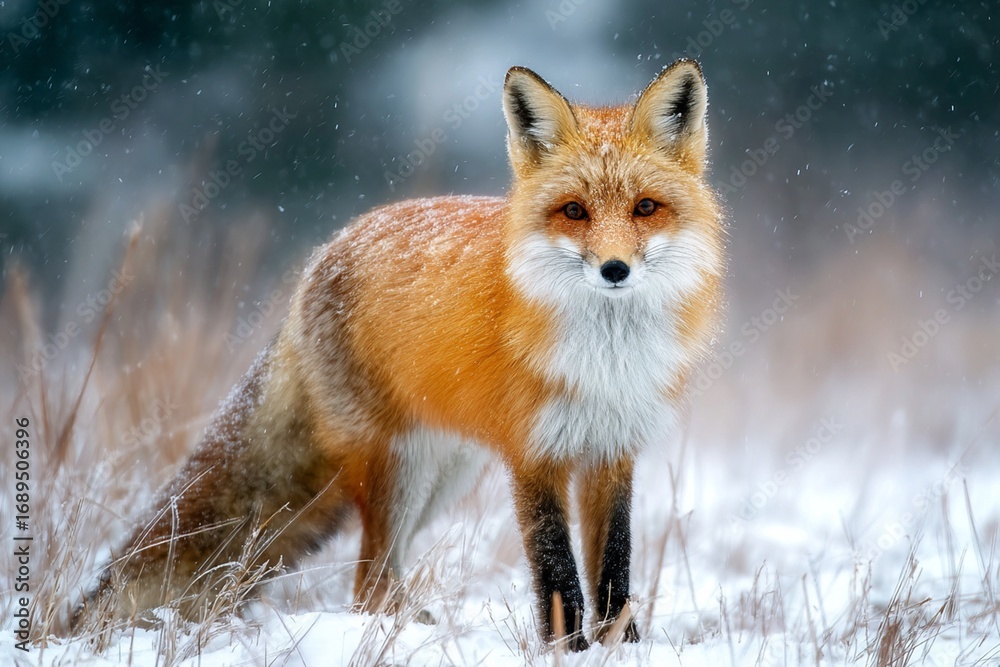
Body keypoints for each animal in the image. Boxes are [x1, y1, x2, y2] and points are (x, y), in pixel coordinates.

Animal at [76, 60, 723, 651]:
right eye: (574, 211)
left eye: (645, 208)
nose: (615, 269)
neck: (605, 359)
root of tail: (324, 252)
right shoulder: (533, 455)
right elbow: (557, 572)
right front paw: (568, 651)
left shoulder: (611, 451)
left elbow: (614, 570)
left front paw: (624, 648)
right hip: (399, 464)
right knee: (368, 583)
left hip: (446, 474)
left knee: (381, 577)